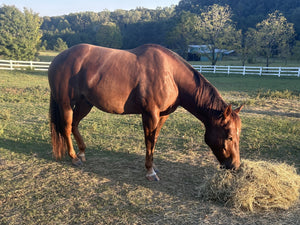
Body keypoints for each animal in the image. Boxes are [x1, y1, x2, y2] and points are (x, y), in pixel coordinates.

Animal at [48, 43, 243, 181]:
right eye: (229, 137)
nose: (235, 166)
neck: (171, 75)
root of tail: (58, 59)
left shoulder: (163, 115)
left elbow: (154, 139)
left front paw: (153, 166)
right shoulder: (150, 114)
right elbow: (149, 141)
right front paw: (150, 172)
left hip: (85, 104)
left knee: (74, 125)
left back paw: (82, 152)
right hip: (66, 104)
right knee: (66, 128)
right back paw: (74, 157)